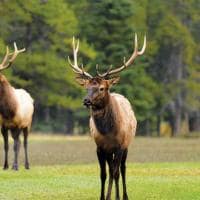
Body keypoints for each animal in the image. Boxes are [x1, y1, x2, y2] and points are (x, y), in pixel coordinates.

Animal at [0, 42, 33, 170]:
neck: (8, 111)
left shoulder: (18, 125)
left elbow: (15, 146)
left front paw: (15, 166)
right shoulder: (3, 126)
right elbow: (6, 146)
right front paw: (5, 166)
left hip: (27, 125)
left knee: (24, 143)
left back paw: (26, 165)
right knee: (17, 142)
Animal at [68, 34, 146, 200]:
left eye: (102, 88)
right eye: (86, 87)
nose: (86, 100)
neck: (108, 132)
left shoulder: (120, 146)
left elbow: (115, 173)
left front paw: (115, 197)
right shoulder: (100, 147)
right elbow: (103, 174)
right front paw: (104, 197)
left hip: (127, 145)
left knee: (122, 169)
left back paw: (124, 196)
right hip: (110, 152)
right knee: (111, 170)